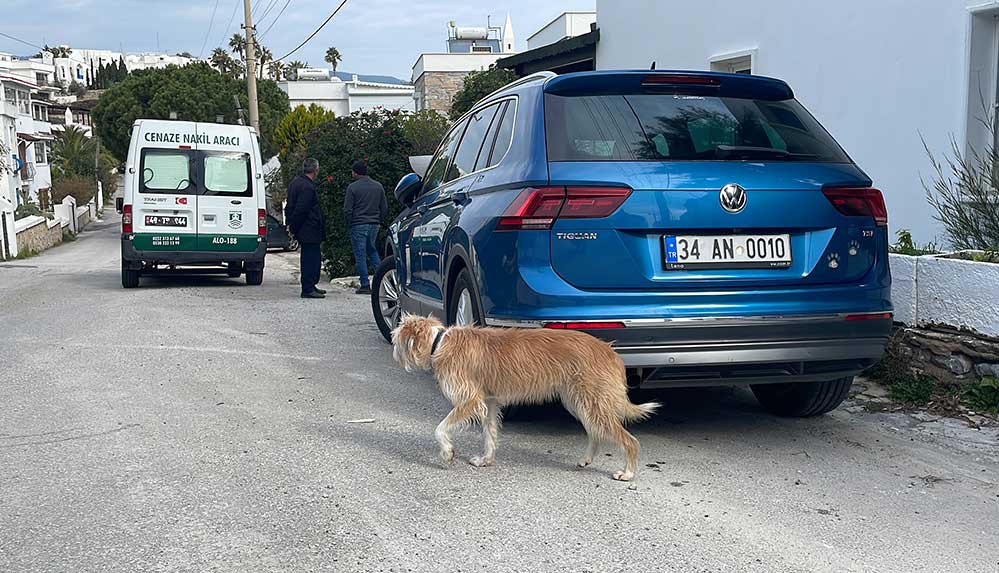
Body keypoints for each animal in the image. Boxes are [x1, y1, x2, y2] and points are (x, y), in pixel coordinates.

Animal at [392, 316, 664, 480]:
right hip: (580, 402)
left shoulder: (470, 401)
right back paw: (587, 459)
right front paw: (486, 460)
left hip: (592, 402)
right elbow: (489, 434)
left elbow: (440, 428)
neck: (439, 342)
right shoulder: (489, 403)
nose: (393, 354)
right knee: (596, 433)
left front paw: (447, 452)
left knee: (630, 441)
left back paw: (628, 473)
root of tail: (610, 351)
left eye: (396, 339)